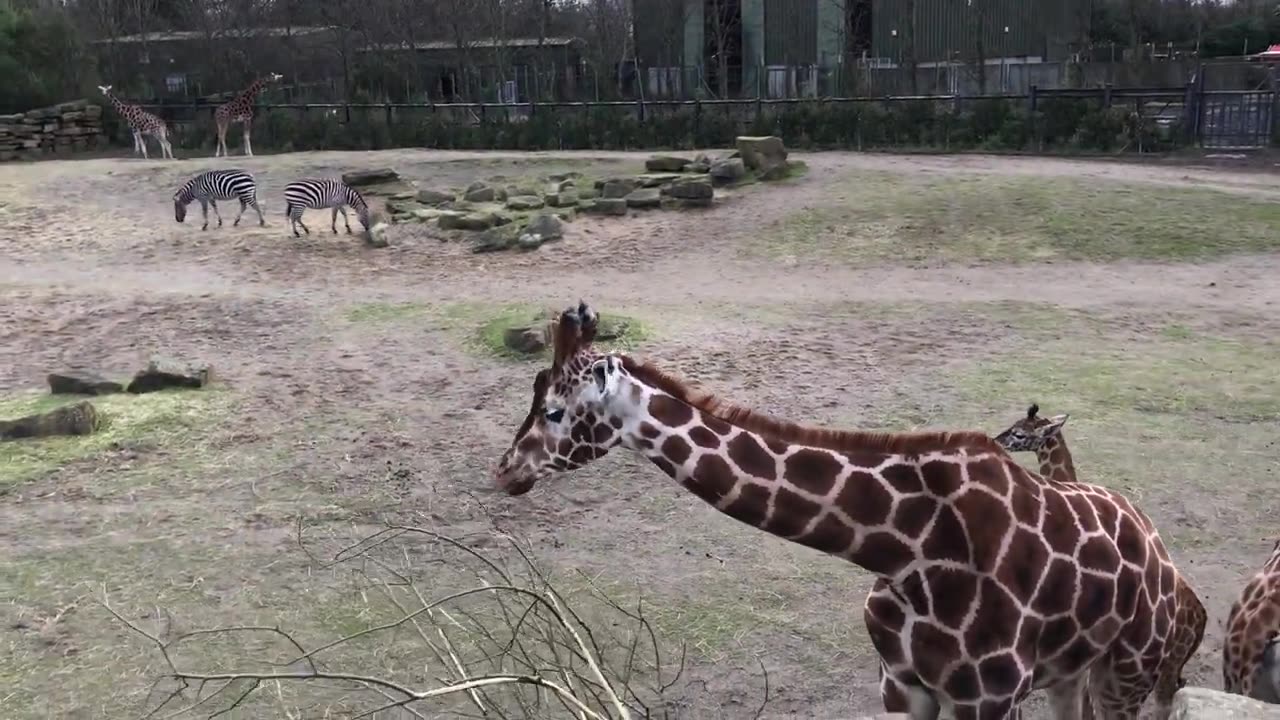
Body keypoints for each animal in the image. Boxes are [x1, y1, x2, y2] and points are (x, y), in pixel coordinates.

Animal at [488, 301, 1177, 717]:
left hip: (1131, 668)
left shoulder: (988, 697)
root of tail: (1156, 545)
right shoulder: (902, 684)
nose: (504, 472)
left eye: (555, 411)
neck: (906, 547)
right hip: (1070, 670)